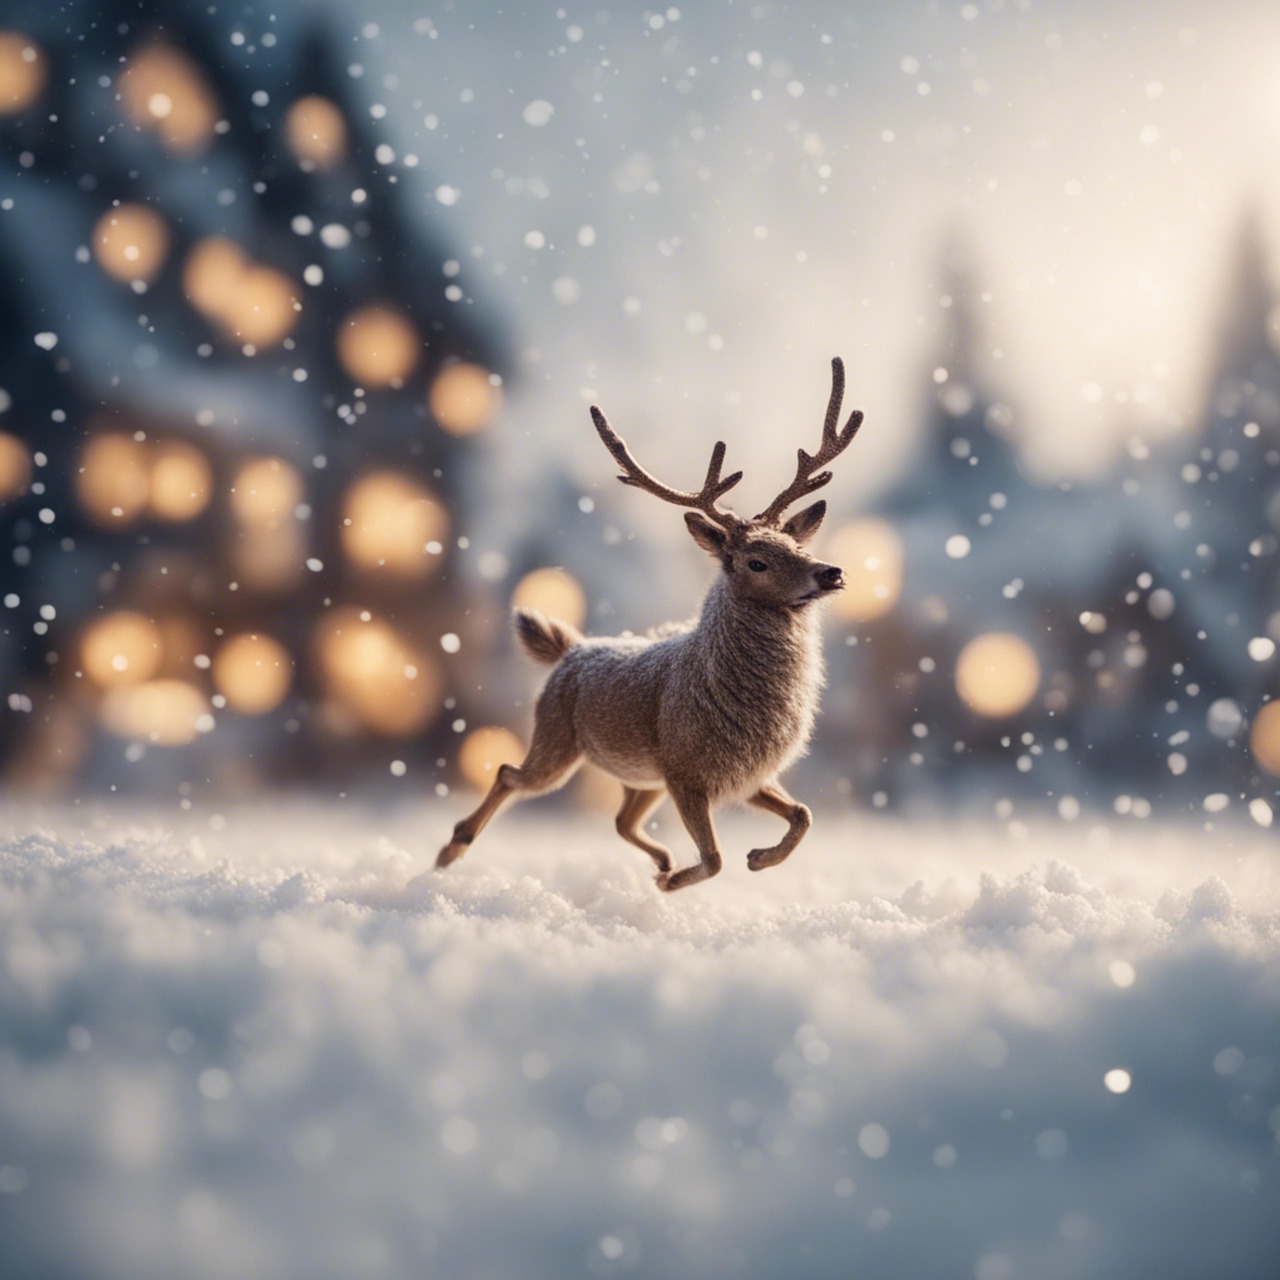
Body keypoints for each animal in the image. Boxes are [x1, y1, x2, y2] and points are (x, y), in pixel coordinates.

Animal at [437, 357, 864, 892]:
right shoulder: (687, 771)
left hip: (643, 775)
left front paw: (756, 859)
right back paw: (451, 849)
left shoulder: (744, 774)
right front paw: (683, 879)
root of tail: (572, 649)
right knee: (507, 772)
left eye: (797, 547)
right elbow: (715, 859)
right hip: (557, 738)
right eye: (757, 562)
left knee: (620, 818)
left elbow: (804, 814)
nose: (831, 572)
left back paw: (661, 860)